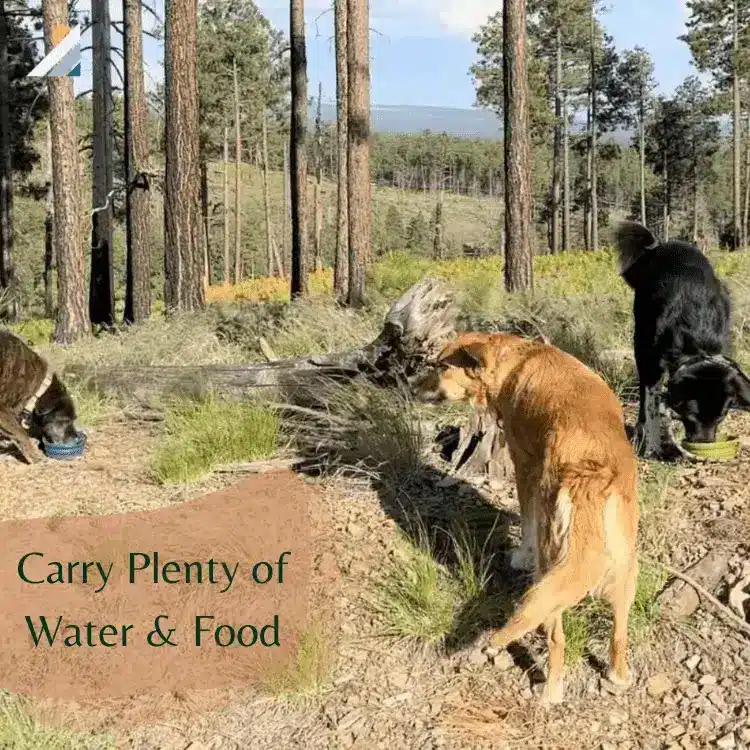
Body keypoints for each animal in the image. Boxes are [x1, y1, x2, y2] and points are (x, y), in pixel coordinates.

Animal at [0, 330, 79, 464]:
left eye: (74, 419)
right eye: (66, 420)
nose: (75, 439)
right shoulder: (3, 410)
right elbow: (21, 432)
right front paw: (34, 454)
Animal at [418, 334, 640, 704]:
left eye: (440, 367)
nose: (411, 384)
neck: (516, 359)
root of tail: (591, 477)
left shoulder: (524, 464)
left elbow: (527, 519)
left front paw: (520, 554)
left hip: (551, 566)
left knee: (555, 636)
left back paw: (550, 691)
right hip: (625, 567)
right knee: (619, 632)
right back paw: (618, 676)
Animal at [612, 220, 750, 462]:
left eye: (721, 417)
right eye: (691, 415)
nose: (705, 444)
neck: (697, 340)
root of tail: (660, 245)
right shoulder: (652, 362)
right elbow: (652, 405)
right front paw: (652, 447)